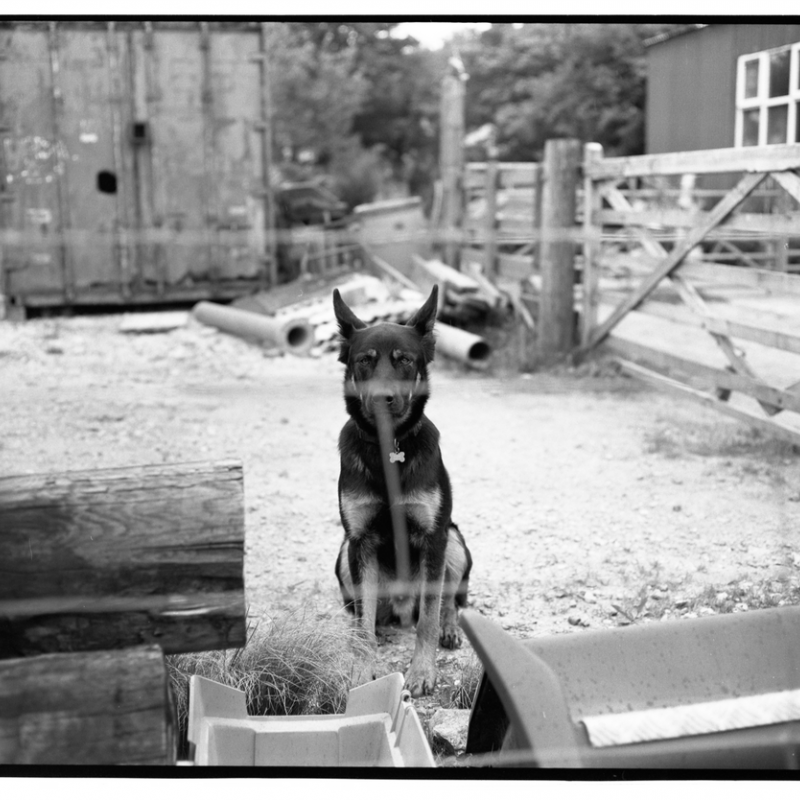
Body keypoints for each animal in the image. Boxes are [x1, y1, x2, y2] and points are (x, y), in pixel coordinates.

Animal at [332, 284, 472, 696]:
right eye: (365, 361)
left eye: (404, 360)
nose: (383, 398)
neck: (388, 446)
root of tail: (399, 607)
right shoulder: (359, 541)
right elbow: (364, 624)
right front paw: (362, 668)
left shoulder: (434, 537)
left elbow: (428, 616)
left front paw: (423, 671)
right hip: (345, 554)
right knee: (362, 614)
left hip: (455, 540)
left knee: (447, 601)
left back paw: (449, 627)